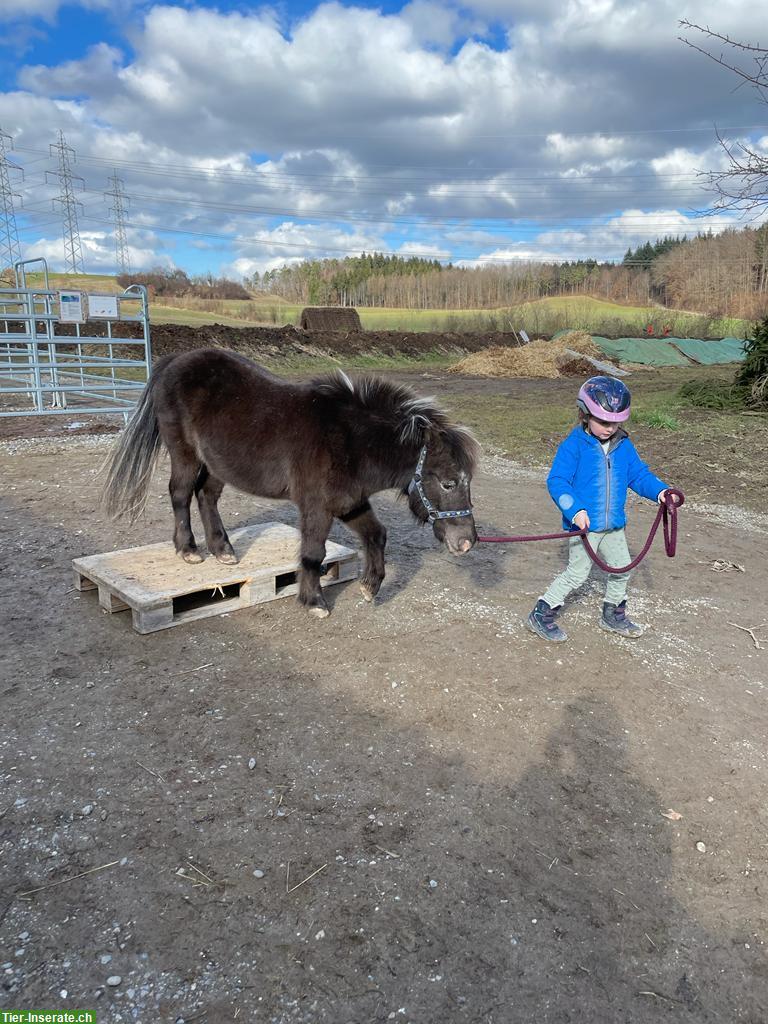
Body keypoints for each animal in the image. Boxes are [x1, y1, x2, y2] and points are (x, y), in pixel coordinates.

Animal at [100, 350, 481, 614]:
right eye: (448, 483)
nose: (467, 543)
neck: (349, 441)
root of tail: (175, 362)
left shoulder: (349, 502)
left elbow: (377, 535)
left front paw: (369, 586)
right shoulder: (317, 506)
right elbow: (313, 553)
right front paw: (314, 602)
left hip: (216, 464)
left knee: (206, 496)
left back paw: (223, 550)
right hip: (184, 453)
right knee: (179, 494)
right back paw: (189, 550)